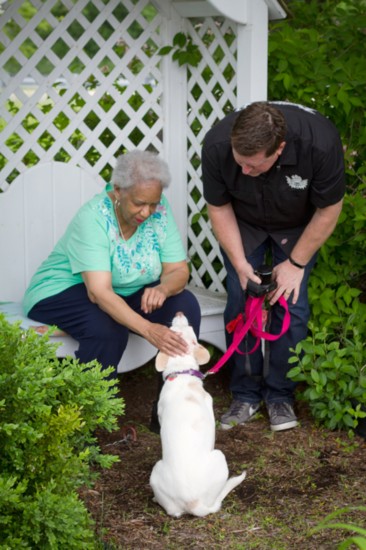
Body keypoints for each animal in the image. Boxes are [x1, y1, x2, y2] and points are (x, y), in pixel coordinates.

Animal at [149, 312, 246, 520]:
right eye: (177, 328)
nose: (179, 312)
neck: (182, 372)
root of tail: (192, 503)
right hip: (219, 456)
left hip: (156, 473)